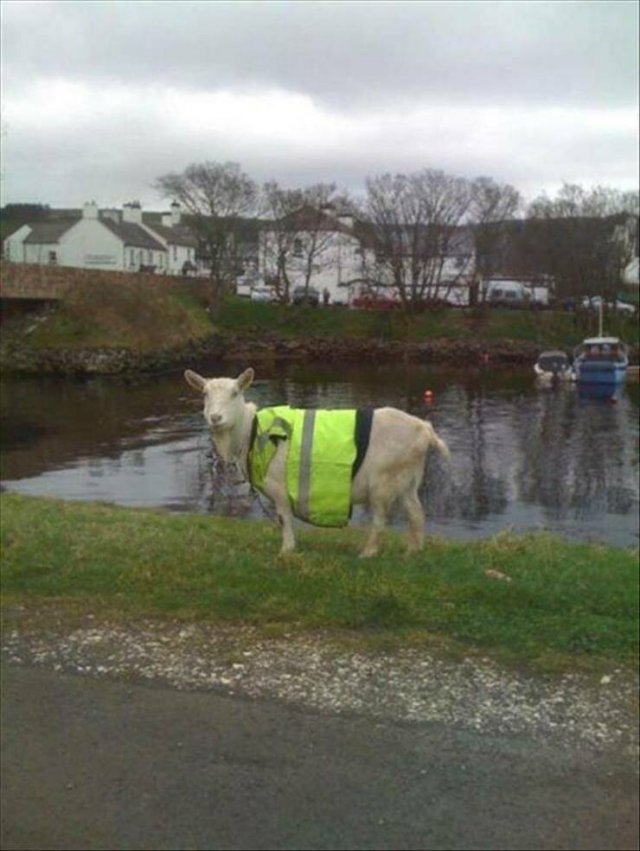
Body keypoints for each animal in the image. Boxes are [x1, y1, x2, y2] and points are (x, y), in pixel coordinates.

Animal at [186, 368, 450, 560]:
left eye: (235, 393)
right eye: (205, 394)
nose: (215, 418)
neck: (250, 432)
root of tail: (424, 430)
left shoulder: (279, 487)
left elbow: (284, 519)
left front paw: (286, 551)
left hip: (383, 480)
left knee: (380, 518)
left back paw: (368, 553)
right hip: (407, 478)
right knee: (416, 513)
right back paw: (412, 552)